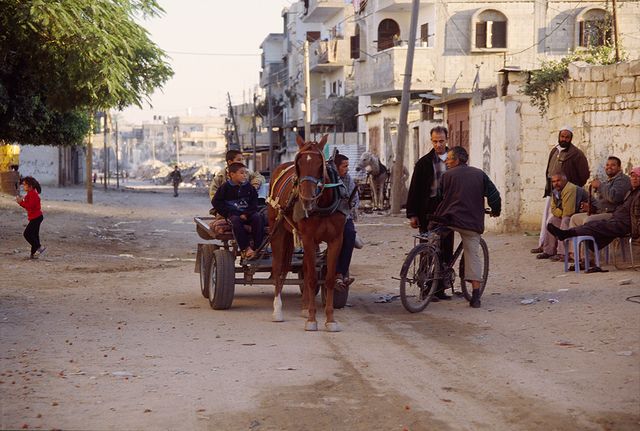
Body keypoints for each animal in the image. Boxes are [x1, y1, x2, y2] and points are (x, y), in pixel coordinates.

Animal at [268, 137, 348, 332]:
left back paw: (304, 307)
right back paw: (277, 310)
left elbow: (328, 279)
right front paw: (312, 319)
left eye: (320, 164)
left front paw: (330, 320)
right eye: (299, 164)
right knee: (278, 268)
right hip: (278, 230)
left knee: (304, 266)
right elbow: (311, 279)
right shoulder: (309, 238)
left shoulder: (336, 239)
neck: (323, 205)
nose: (306, 199)